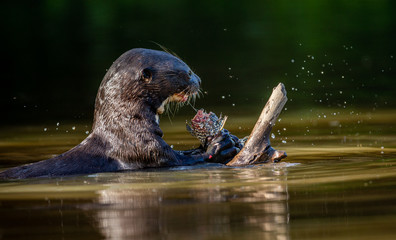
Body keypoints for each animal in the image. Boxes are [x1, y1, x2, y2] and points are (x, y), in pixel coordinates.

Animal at [0, 48, 240, 179]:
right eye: (187, 71)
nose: (199, 80)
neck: (125, 128)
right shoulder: (143, 148)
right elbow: (180, 159)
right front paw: (220, 145)